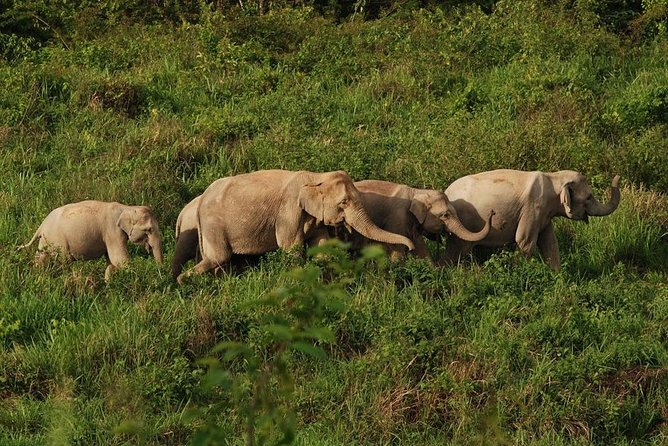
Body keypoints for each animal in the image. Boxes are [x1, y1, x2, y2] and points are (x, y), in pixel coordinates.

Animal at [18, 200, 164, 280]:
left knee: (41, 258)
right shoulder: (112, 231)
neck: (127, 207)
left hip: (46, 240)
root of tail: (42, 225)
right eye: (149, 229)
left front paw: (108, 283)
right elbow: (120, 260)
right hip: (57, 241)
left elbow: (111, 262)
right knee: (64, 262)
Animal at [177, 169, 414, 284]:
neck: (316, 176)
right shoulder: (288, 211)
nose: (410, 247)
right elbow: (291, 248)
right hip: (213, 224)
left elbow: (321, 247)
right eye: (344, 203)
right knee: (219, 257)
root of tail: (200, 200)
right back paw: (183, 282)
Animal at [344, 179, 496, 262]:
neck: (418, 192)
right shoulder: (397, 218)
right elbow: (398, 246)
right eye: (445, 215)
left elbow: (420, 246)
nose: (492, 212)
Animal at [444, 170, 620, 268]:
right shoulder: (533, 207)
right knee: (459, 251)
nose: (617, 176)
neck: (553, 177)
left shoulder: (544, 214)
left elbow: (550, 243)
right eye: (589, 197)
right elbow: (524, 241)